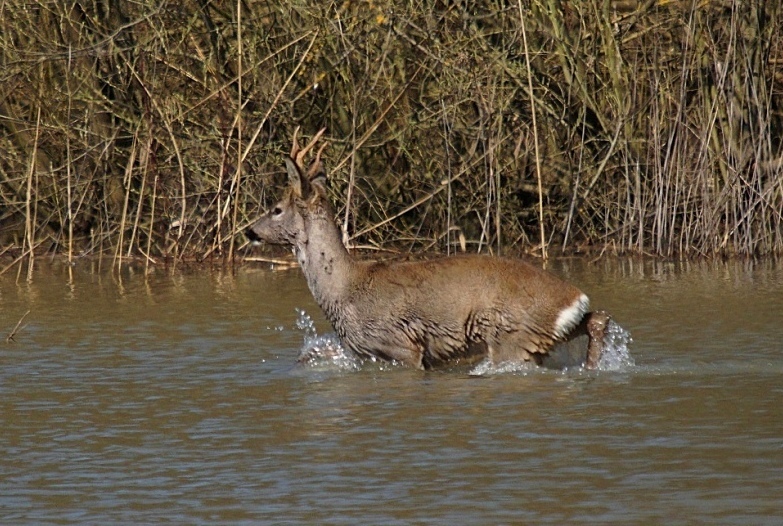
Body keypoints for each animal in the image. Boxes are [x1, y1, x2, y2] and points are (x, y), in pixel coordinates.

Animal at [245, 129, 612, 372]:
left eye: (276, 209)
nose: (250, 231)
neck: (346, 290)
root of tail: (574, 298)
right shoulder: (363, 351)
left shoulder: (400, 345)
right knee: (598, 320)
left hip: (513, 338)